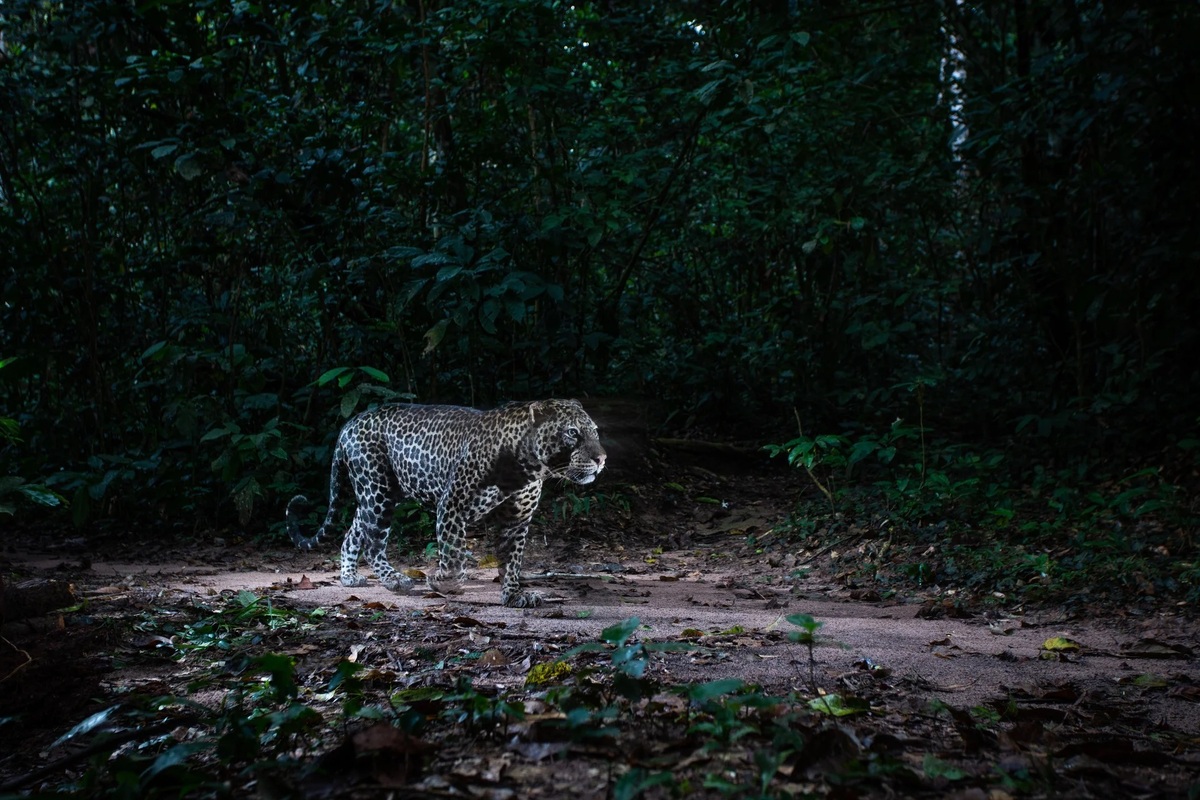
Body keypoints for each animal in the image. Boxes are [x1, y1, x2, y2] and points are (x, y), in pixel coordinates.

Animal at [285, 400, 604, 606]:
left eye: (595, 431)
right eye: (572, 432)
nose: (602, 459)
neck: (528, 467)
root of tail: (350, 422)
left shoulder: (516, 520)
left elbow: (512, 560)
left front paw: (514, 595)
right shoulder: (452, 506)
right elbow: (453, 556)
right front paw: (442, 582)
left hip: (379, 492)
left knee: (355, 531)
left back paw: (349, 576)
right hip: (377, 490)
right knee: (374, 542)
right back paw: (394, 579)